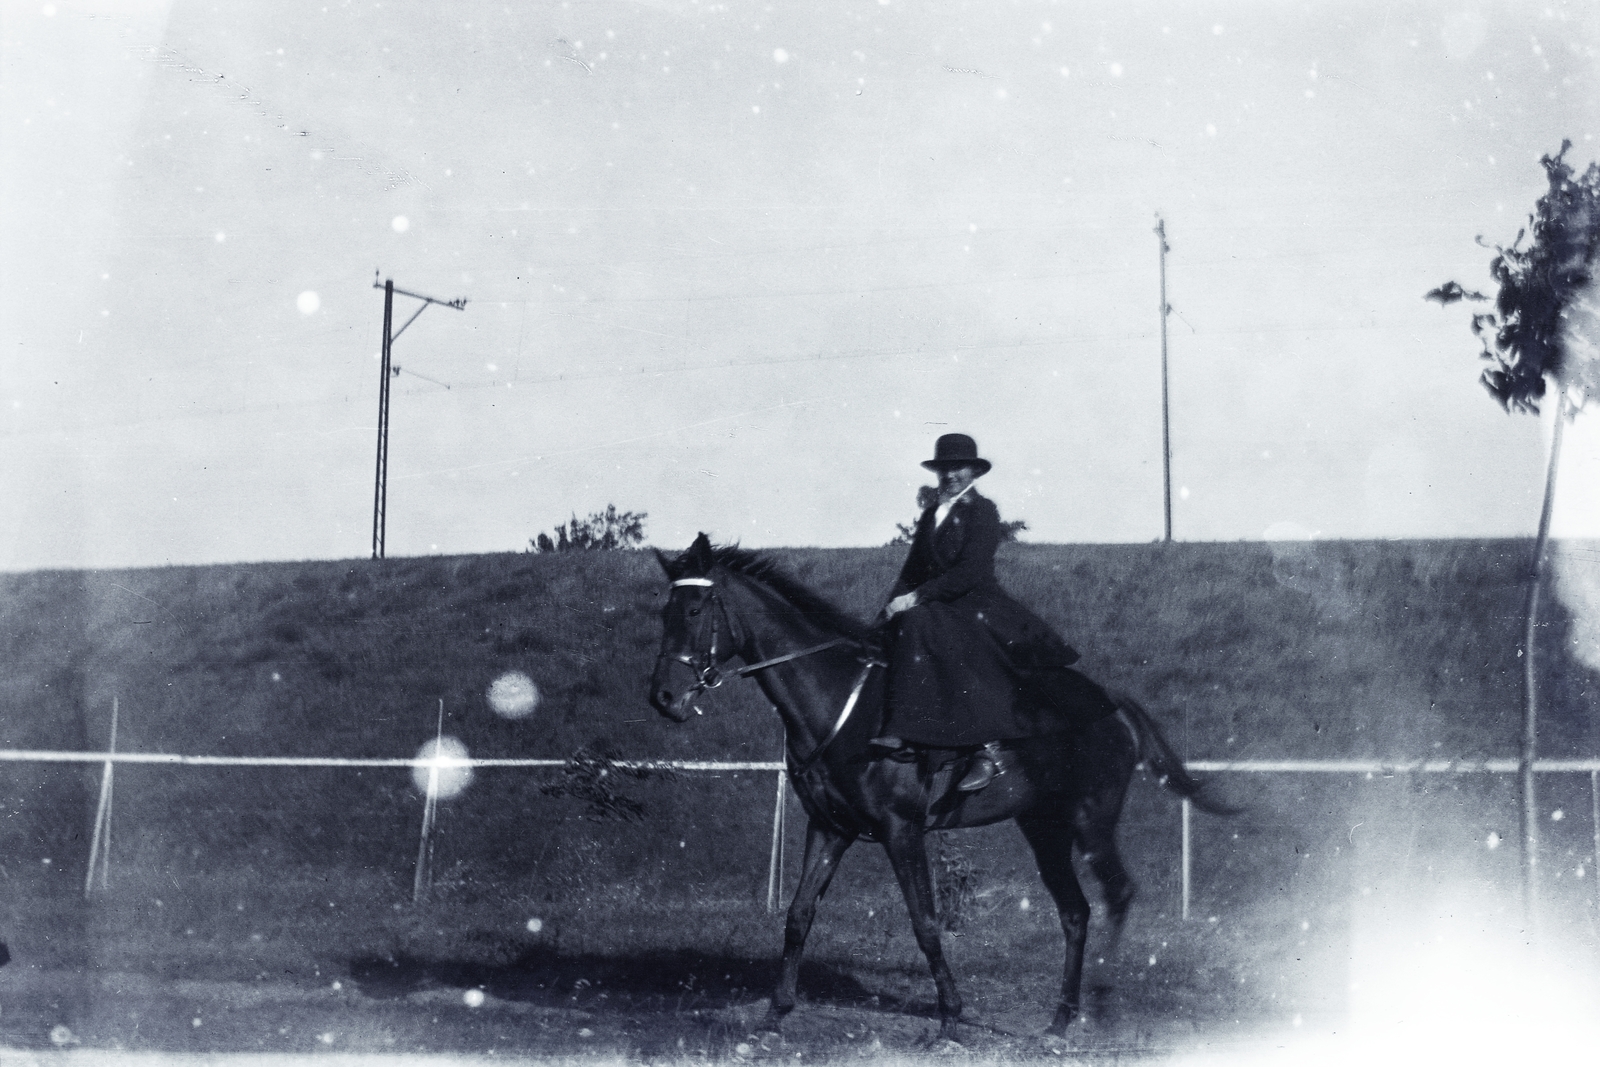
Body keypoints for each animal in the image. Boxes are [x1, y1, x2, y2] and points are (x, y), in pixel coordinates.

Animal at [643, 537, 1228, 1036]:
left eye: (693, 611)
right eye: (663, 613)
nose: (664, 698)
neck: (840, 704)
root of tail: (1112, 704)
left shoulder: (901, 831)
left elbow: (924, 922)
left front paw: (950, 1018)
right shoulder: (829, 827)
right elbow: (798, 915)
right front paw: (775, 1014)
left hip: (1092, 819)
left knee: (1117, 894)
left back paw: (1101, 1009)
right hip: (1044, 827)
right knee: (1075, 911)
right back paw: (1059, 1022)